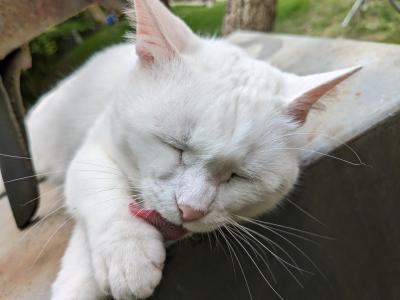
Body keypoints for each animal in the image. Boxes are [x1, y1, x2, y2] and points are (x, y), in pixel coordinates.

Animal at [21, 0, 360, 298]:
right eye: (175, 147)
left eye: (238, 176)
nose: (190, 209)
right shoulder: (92, 149)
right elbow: (102, 192)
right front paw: (128, 252)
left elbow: (81, 256)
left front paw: (97, 272)